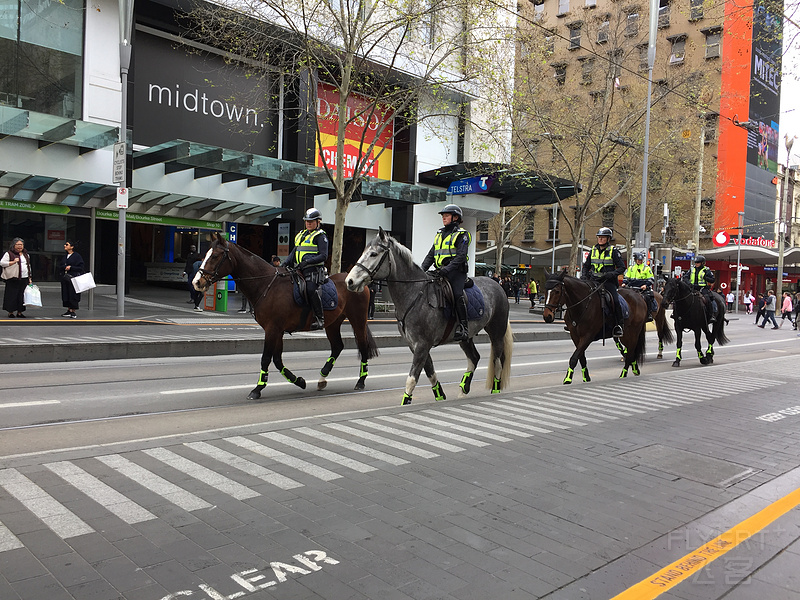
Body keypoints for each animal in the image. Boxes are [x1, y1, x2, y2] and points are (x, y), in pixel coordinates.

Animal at [195, 233, 380, 398]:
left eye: (216, 256)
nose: (197, 282)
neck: (266, 284)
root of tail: (358, 282)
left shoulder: (273, 329)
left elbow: (266, 358)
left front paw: (257, 389)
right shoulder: (276, 330)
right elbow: (277, 360)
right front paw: (299, 381)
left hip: (358, 320)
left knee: (362, 346)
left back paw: (360, 381)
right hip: (333, 323)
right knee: (337, 346)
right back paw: (322, 377)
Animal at [346, 227, 512, 406]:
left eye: (374, 254)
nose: (350, 281)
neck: (415, 294)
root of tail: (498, 285)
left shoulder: (422, 345)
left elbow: (412, 379)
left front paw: (406, 401)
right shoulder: (415, 345)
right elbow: (430, 371)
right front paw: (439, 396)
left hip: (496, 333)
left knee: (498, 362)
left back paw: (495, 389)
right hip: (466, 338)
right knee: (474, 358)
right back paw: (463, 390)